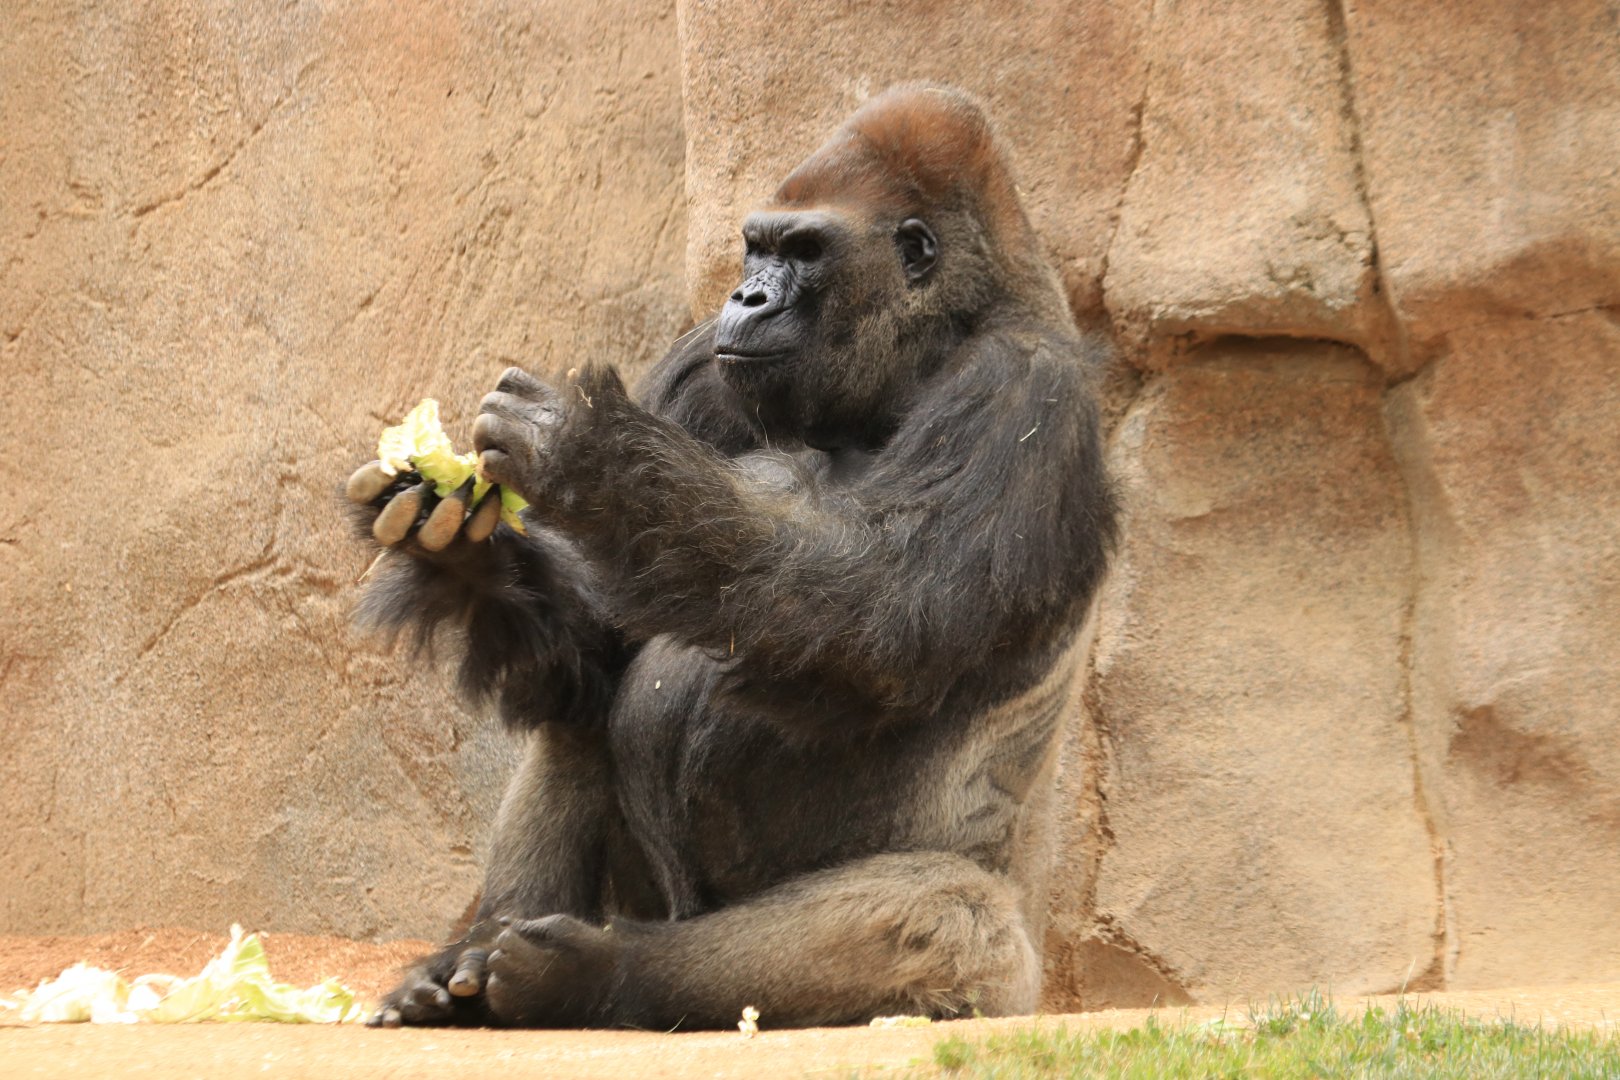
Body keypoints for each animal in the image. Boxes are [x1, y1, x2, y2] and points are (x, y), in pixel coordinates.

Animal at [347, 84, 1116, 1029]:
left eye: (806, 251)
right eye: (759, 246)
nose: (745, 297)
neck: (929, 347)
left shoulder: (1024, 388)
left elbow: (890, 612)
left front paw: (591, 457)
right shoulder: (704, 363)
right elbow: (599, 637)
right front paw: (466, 557)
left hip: (1005, 974)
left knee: (949, 914)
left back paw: (601, 973)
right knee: (578, 704)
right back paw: (471, 961)